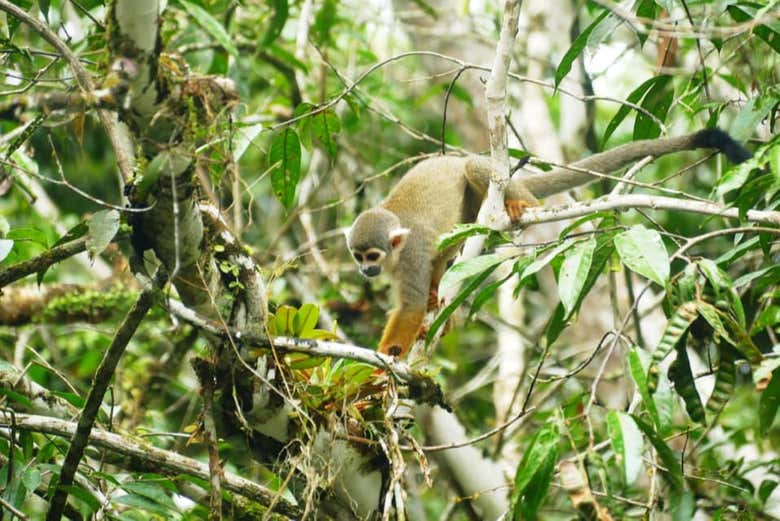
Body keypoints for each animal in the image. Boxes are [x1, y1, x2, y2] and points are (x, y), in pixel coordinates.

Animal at [346, 128, 752, 358]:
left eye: (373, 254)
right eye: (358, 256)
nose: (367, 271)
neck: (395, 256)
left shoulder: (410, 255)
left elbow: (410, 308)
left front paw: (383, 364)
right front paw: (432, 300)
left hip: (483, 180)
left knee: (476, 170)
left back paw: (521, 203)